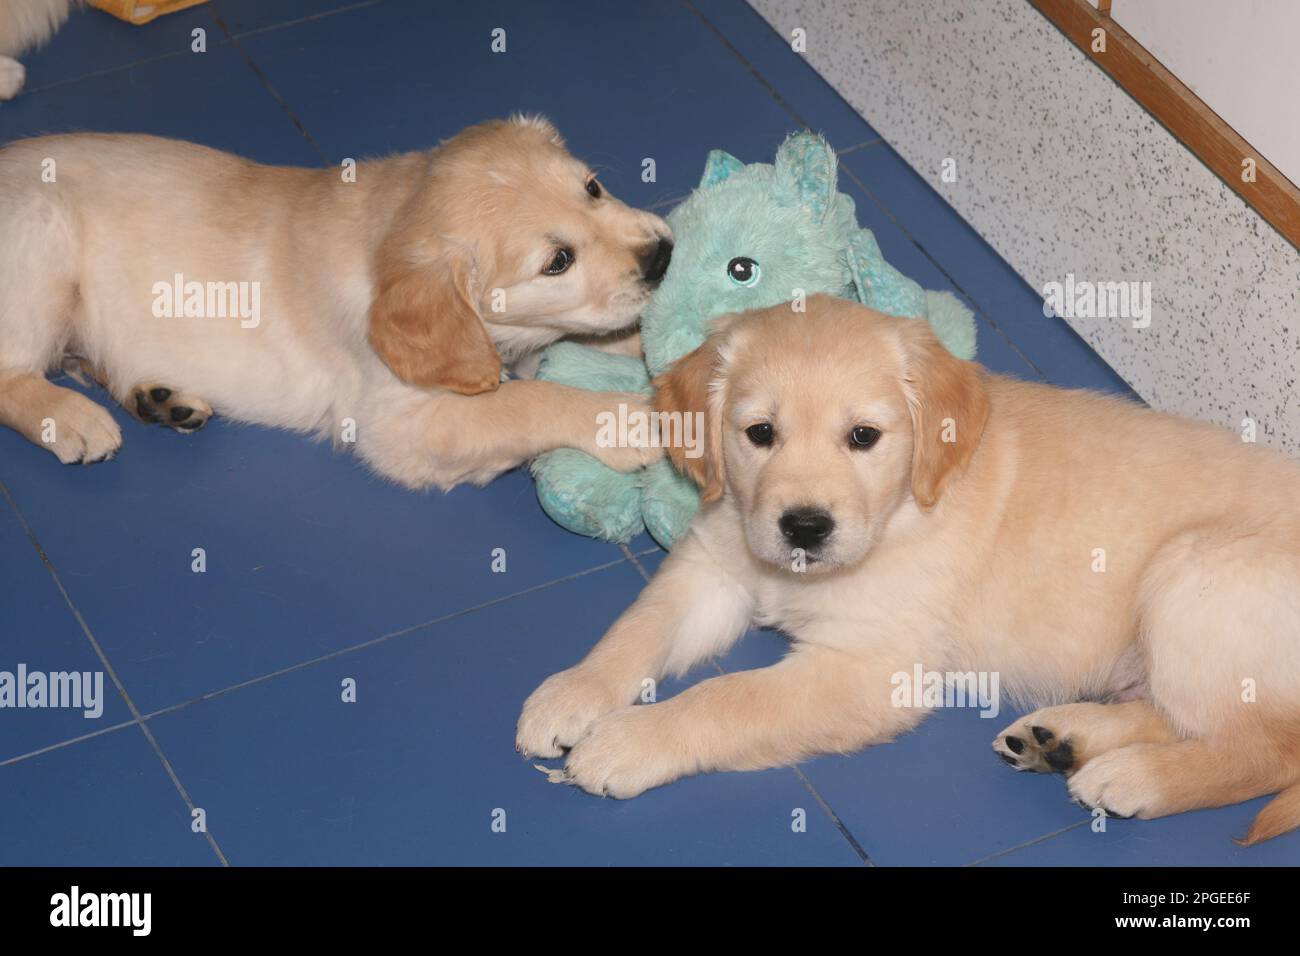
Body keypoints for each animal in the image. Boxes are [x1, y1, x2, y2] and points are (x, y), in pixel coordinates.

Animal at [0, 115, 670, 486]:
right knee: (13, 375)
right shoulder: (397, 424)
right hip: (43, 229)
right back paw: (75, 419)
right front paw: (623, 420)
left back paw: (161, 399)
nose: (663, 255)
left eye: (592, 188)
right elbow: (524, 402)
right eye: (557, 261)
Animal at [514, 297, 1300, 842]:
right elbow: (640, 626)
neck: (899, 512)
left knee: (1267, 750)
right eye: (759, 433)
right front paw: (572, 694)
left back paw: (1134, 777)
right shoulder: (714, 565)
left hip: (1192, 576)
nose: (804, 527)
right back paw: (1062, 740)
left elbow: (728, 698)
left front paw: (628, 742)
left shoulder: (869, 667)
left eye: (864, 437)